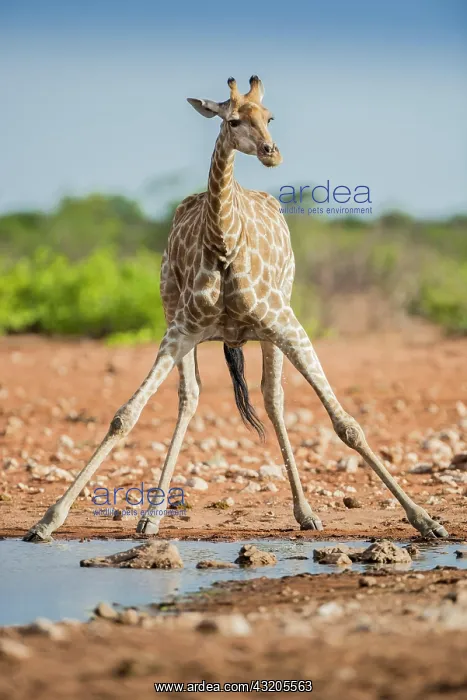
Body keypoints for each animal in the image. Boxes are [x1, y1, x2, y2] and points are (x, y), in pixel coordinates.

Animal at [24, 76, 448, 542]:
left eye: (270, 117)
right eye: (232, 120)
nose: (271, 152)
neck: (225, 245)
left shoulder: (287, 324)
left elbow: (346, 424)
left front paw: (426, 520)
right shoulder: (180, 329)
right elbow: (125, 416)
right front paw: (47, 520)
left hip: (272, 324)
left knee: (273, 398)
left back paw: (305, 512)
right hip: (172, 311)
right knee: (190, 396)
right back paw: (152, 516)